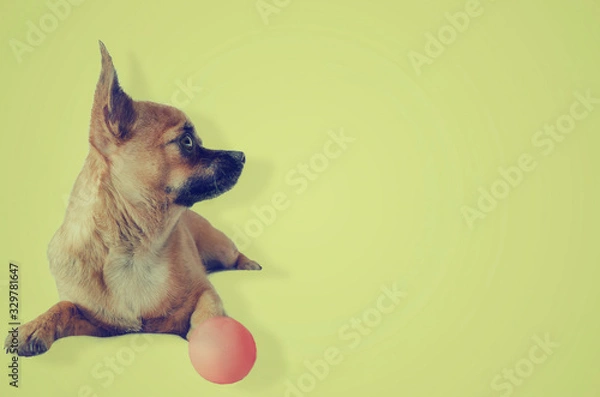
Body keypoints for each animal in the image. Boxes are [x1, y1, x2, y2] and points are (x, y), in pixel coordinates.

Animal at [2, 42, 260, 356]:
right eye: (187, 142)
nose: (241, 156)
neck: (136, 250)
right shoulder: (99, 322)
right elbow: (65, 306)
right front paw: (35, 325)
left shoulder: (204, 291)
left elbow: (208, 310)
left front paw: (214, 338)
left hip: (219, 247)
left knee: (235, 255)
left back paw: (250, 265)